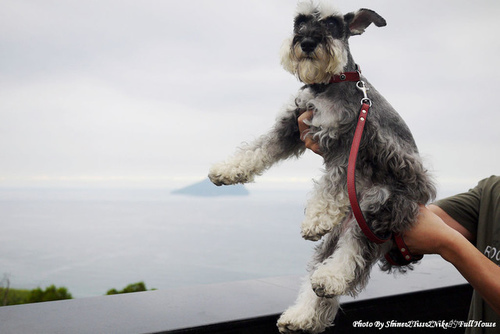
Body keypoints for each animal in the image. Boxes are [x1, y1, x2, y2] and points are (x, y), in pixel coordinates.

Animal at [207, 1, 434, 332]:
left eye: (332, 24)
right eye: (299, 22)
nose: (307, 42)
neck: (330, 83)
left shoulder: (349, 145)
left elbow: (332, 184)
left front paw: (317, 218)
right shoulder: (293, 123)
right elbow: (259, 147)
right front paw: (226, 170)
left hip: (380, 202)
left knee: (354, 249)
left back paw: (330, 278)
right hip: (346, 226)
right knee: (326, 266)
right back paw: (302, 314)